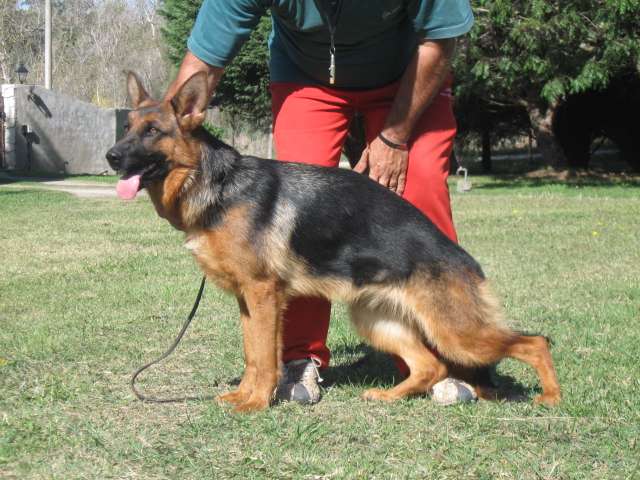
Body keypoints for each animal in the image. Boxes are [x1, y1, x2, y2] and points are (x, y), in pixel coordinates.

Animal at [105, 71, 560, 412]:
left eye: (152, 131)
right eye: (126, 128)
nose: (111, 156)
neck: (214, 183)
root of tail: (464, 259)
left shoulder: (263, 294)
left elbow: (264, 358)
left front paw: (255, 404)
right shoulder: (249, 301)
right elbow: (254, 354)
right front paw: (244, 396)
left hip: (457, 333)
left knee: (534, 342)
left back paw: (551, 398)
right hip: (377, 320)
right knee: (429, 365)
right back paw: (388, 396)